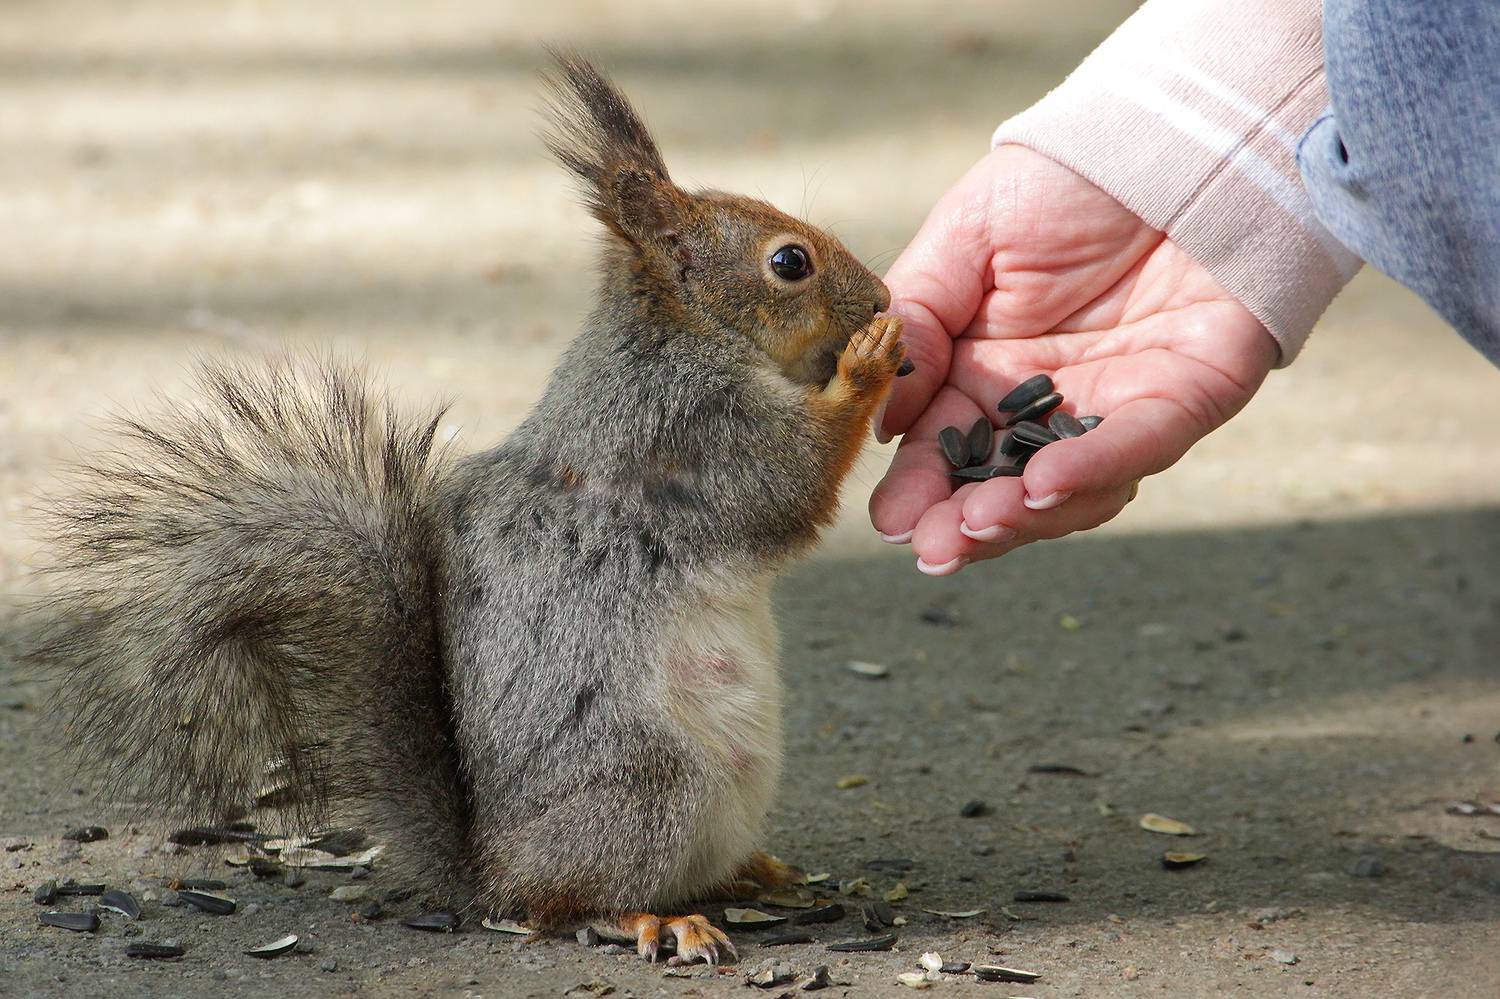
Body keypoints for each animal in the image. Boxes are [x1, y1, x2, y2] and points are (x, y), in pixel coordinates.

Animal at [30, 53, 905, 964]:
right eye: (790, 263)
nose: (882, 296)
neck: (683, 331)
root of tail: (489, 869)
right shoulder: (694, 427)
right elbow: (790, 480)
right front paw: (869, 362)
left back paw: (757, 874)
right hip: (652, 786)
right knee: (566, 903)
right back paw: (656, 918)